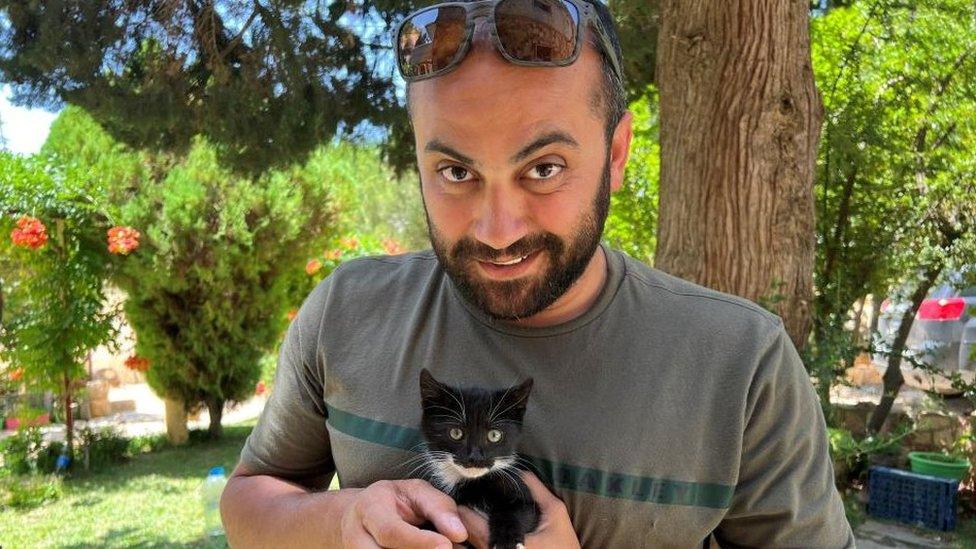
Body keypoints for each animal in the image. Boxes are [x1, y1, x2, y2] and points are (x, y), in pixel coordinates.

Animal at [418, 366, 544, 548]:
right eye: (456, 433)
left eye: (494, 435)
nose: (475, 457)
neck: (473, 484)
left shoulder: (524, 496)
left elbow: (519, 512)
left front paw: (507, 542)